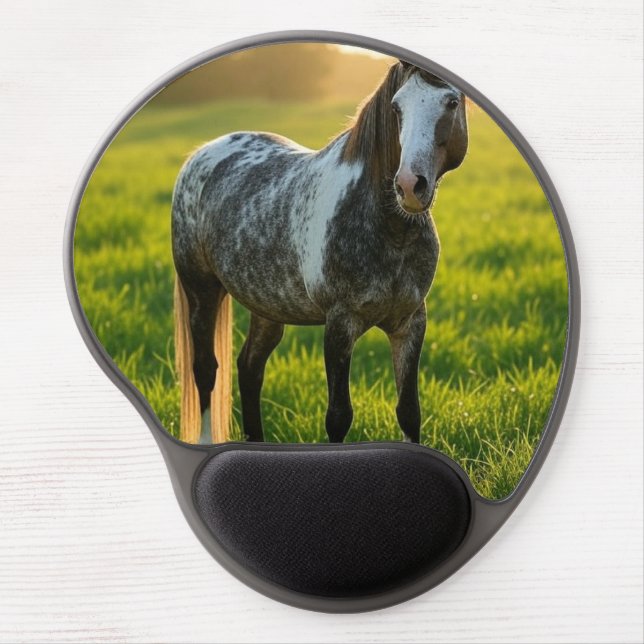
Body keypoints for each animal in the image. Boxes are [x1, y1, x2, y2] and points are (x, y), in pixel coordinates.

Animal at [172, 60, 468, 445]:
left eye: (451, 102)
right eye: (396, 108)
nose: (409, 185)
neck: (389, 228)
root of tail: (200, 155)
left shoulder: (410, 322)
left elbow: (409, 412)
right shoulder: (340, 323)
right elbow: (339, 417)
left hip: (266, 307)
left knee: (249, 368)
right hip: (202, 292)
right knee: (206, 370)